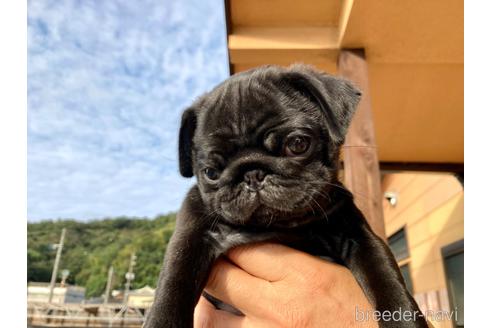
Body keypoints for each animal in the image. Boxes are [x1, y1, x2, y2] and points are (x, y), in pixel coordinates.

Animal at [143, 64, 426, 328]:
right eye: (211, 172)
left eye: (297, 144)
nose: (252, 174)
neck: (278, 226)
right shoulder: (190, 238)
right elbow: (173, 286)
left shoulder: (361, 239)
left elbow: (387, 282)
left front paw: (405, 321)